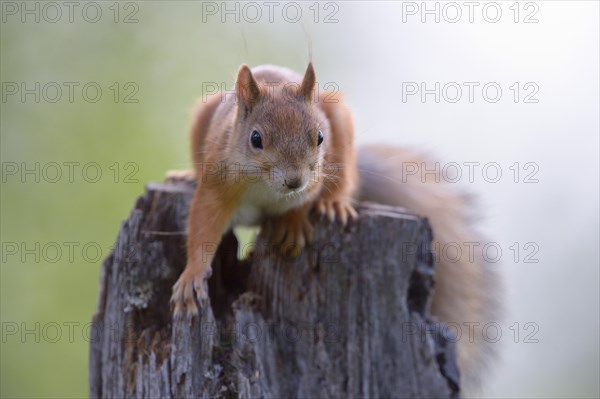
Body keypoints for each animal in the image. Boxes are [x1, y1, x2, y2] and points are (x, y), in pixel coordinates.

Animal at [171, 64, 500, 396]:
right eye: (255, 138)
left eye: (319, 137)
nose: (294, 180)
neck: (264, 187)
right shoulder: (217, 182)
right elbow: (202, 226)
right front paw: (191, 277)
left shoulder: (315, 175)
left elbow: (304, 201)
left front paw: (293, 224)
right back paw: (185, 176)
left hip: (339, 121)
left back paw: (333, 203)